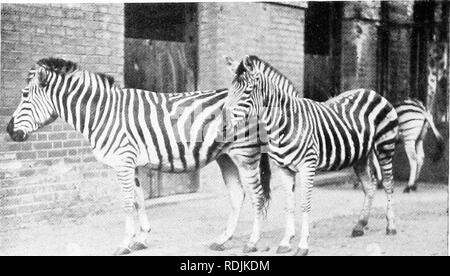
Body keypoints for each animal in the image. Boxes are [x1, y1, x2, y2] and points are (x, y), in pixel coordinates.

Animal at [6, 57, 270, 254]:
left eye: (25, 95)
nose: (8, 131)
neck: (103, 113)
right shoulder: (130, 162)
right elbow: (138, 200)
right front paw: (141, 238)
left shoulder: (123, 161)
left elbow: (126, 202)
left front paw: (124, 243)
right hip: (225, 157)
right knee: (237, 195)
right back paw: (222, 240)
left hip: (245, 154)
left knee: (258, 196)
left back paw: (252, 242)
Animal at [223, 55, 400, 256]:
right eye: (231, 89)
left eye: (248, 90)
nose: (224, 122)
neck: (285, 121)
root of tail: (372, 91)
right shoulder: (284, 168)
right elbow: (289, 204)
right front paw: (285, 242)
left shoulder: (308, 165)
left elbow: (305, 204)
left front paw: (302, 246)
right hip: (360, 155)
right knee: (370, 186)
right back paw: (359, 226)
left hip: (385, 146)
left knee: (388, 184)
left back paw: (391, 226)